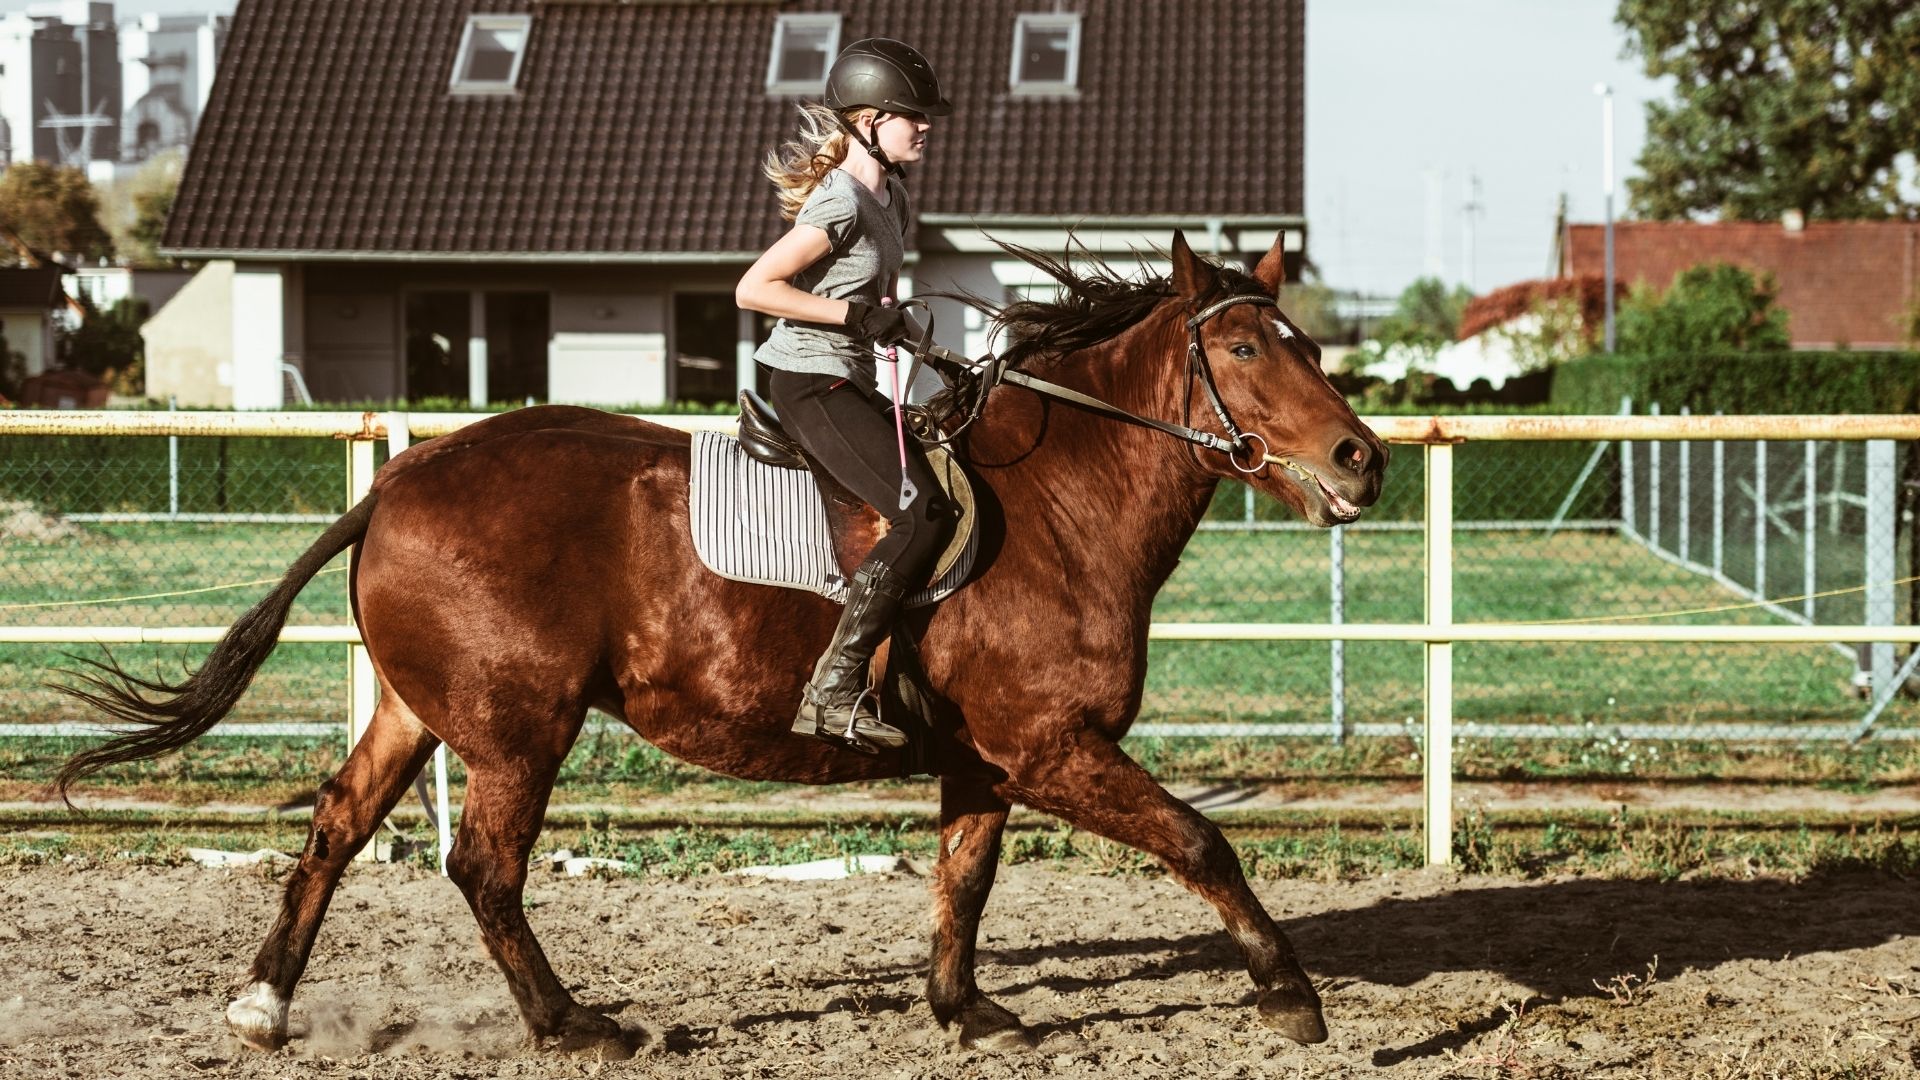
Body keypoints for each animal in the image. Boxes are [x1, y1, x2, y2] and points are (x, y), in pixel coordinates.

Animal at [56, 233, 1382, 1053]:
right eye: (1247, 348)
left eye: (1313, 347)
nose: (1362, 459)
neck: (1059, 500)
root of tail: (396, 482)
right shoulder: (1054, 747)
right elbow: (1202, 842)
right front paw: (1291, 995)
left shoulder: (988, 761)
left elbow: (964, 879)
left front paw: (964, 1011)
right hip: (519, 729)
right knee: (483, 869)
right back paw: (573, 1026)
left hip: (419, 711)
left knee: (336, 828)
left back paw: (263, 1008)